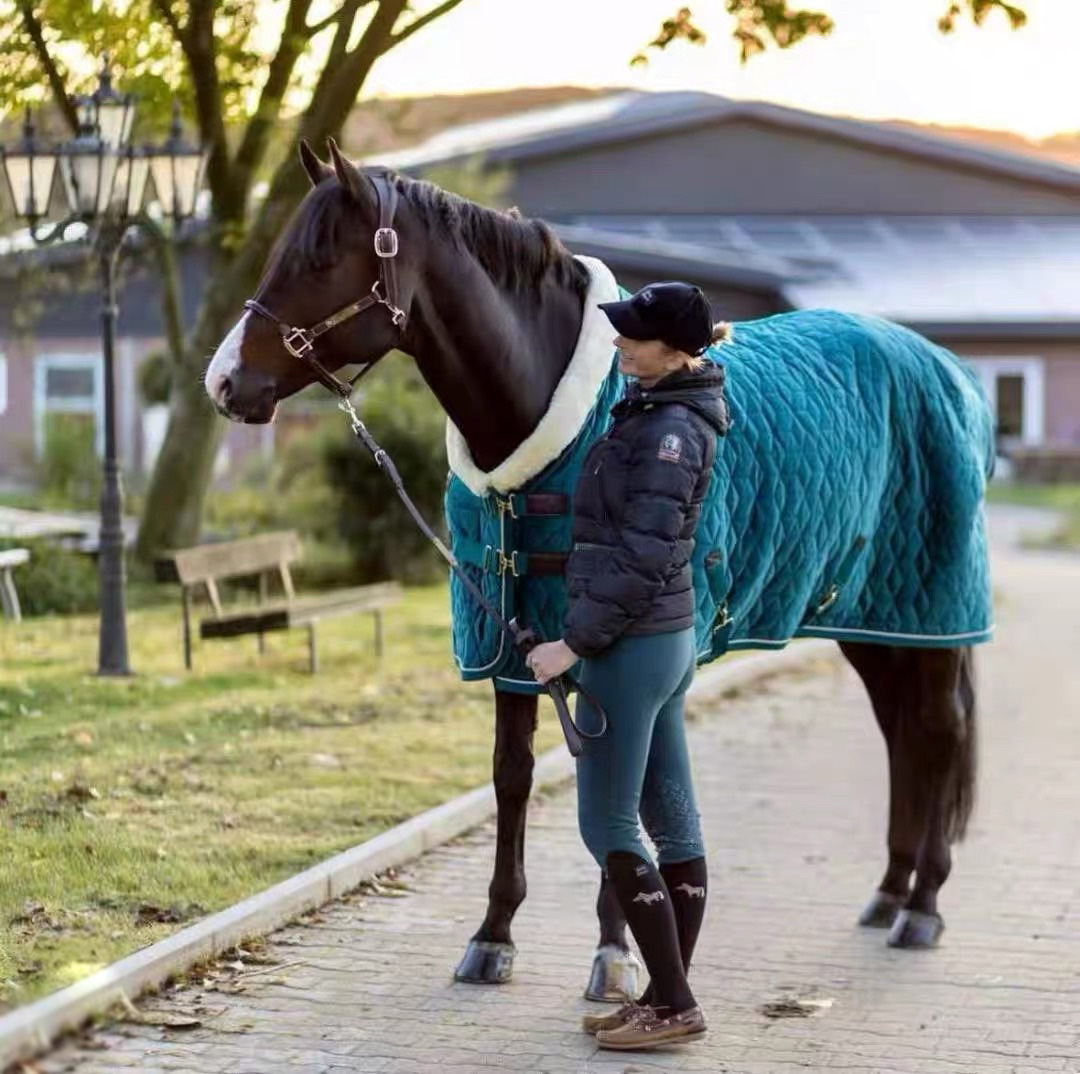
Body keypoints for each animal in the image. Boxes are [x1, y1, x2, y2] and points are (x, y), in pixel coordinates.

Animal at [204, 139, 988, 999]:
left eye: (318, 258)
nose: (224, 381)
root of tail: (948, 370)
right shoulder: (514, 645)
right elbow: (512, 776)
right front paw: (493, 937)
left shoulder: (609, 647)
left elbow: (621, 781)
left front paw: (615, 955)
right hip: (875, 620)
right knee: (904, 735)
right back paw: (889, 893)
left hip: (928, 616)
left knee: (939, 730)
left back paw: (924, 907)